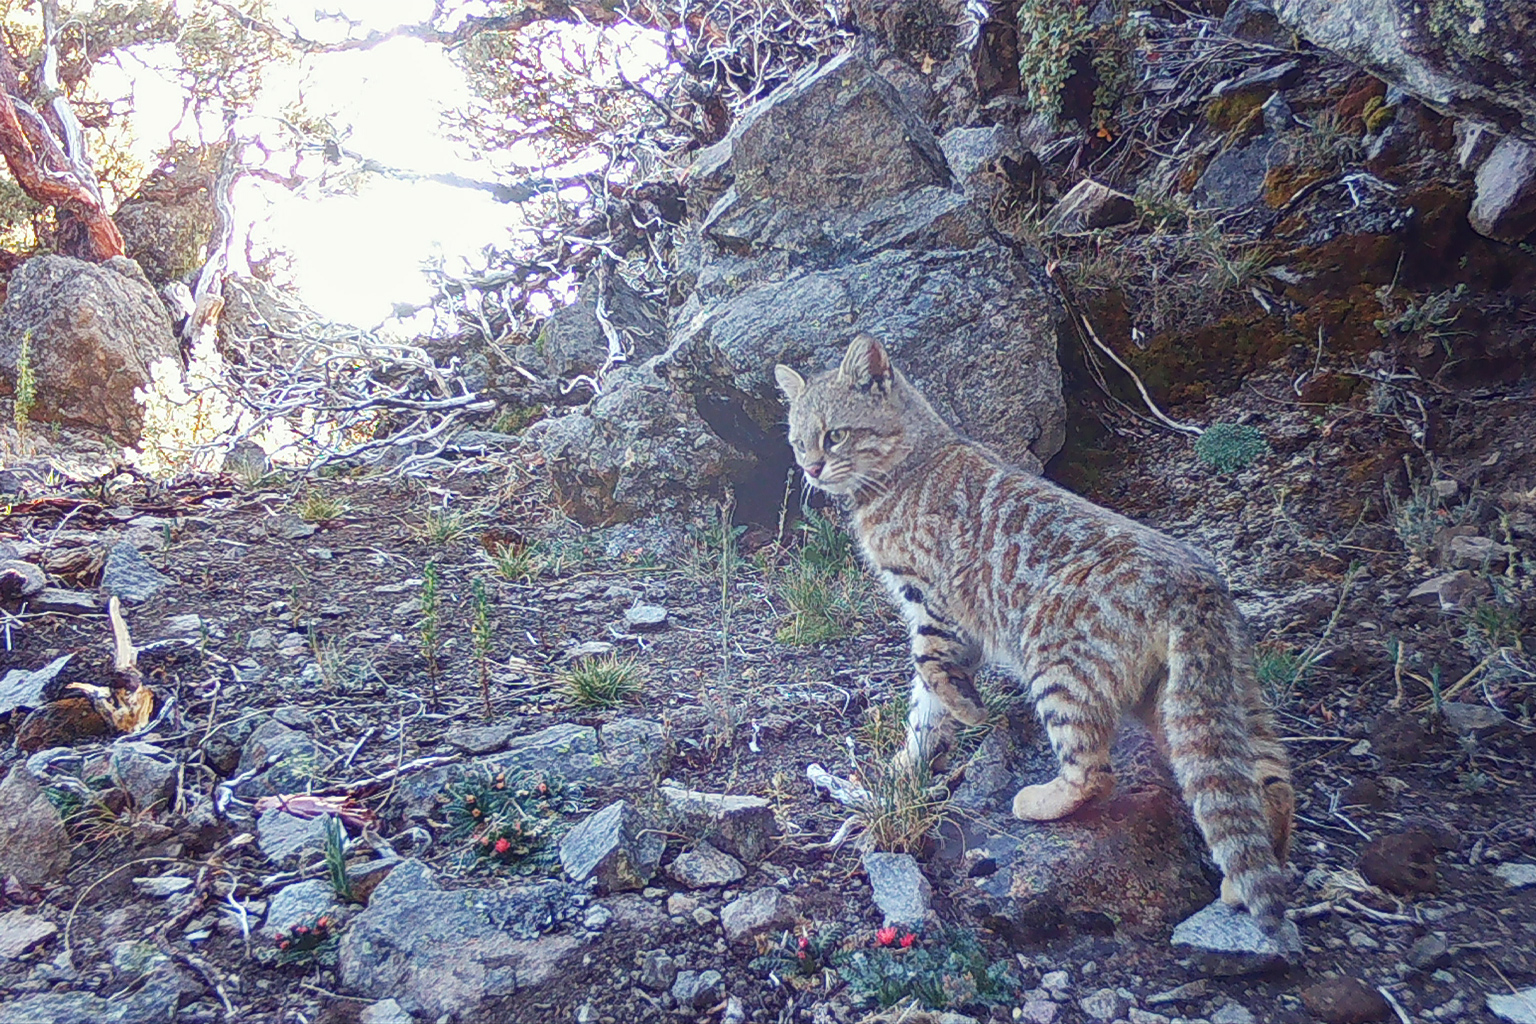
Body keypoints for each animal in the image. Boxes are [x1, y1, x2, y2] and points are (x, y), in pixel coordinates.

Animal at [774, 334, 1290, 927]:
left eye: (834, 435)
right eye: (797, 441)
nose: (811, 468)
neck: (912, 464)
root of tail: (1197, 584)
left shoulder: (934, 604)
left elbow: (931, 671)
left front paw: (964, 715)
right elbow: (923, 704)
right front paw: (907, 764)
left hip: (1057, 667)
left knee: (1095, 772)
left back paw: (1042, 800)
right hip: (1208, 700)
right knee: (1266, 781)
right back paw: (1248, 872)